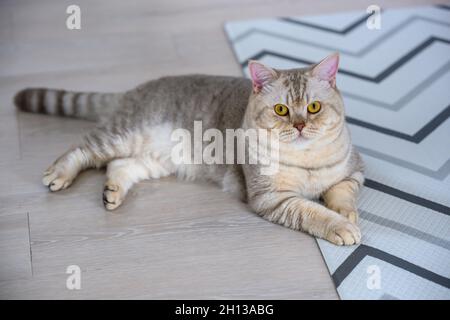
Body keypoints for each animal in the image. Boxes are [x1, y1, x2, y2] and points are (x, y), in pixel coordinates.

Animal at [14, 53, 364, 246]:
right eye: (281, 110)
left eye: (314, 107)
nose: (301, 125)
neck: (307, 159)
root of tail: (134, 90)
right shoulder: (272, 198)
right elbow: (312, 211)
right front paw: (341, 226)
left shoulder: (356, 168)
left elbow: (342, 190)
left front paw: (346, 211)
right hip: (123, 134)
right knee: (83, 149)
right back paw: (59, 173)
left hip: (156, 159)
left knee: (119, 166)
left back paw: (112, 193)